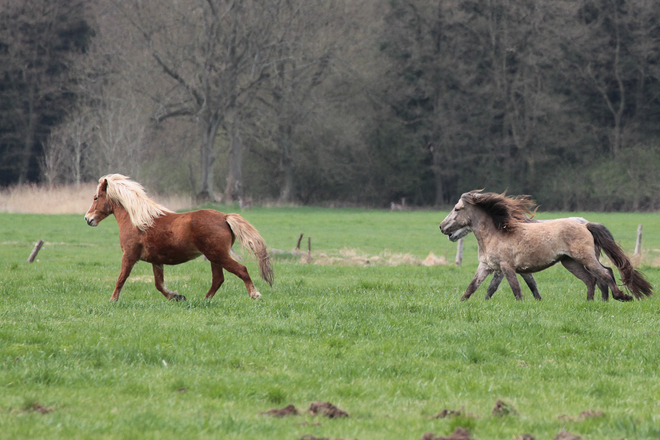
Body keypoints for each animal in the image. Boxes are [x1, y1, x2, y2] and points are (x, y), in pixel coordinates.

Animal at [83, 174, 274, 300]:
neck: (137, 220)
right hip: (214, 257)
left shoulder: (129, 255)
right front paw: (176, 296)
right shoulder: (156, 261)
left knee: (241, 270)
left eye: (96, 197)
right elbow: (159, 284)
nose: (87, 218)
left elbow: (121, 278)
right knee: (218, 279)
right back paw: (204, 300)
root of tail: (225, 217)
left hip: (218, 255)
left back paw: (255, 294)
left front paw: (113, 300)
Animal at [440, 191, 652, 300]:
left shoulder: (506, 268)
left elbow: (515, 289)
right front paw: (461, 304)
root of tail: (585, 225)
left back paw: (620, 296)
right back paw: (590, 302)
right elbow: (472, 287)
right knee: (591, 279)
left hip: (585, 258)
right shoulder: (486, 267)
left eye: (457, 209)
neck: (496, 233)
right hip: (570, 262)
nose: (442, 227)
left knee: (605, 273)